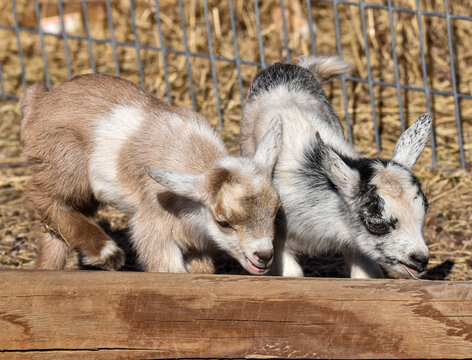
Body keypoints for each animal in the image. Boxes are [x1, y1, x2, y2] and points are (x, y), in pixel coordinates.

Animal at [21, 74, 280, 274]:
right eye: (223, 222)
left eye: (275, 212)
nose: (264, 256)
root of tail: (39, 100)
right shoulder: (155, 228)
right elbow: (167, 269)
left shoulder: (197, 245)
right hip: (66, 163)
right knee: (38, 193)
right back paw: (106, 253)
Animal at [242, 57, 434, 280]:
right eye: (377, 224)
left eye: (424, 210)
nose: (420, 259)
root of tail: (285, 66)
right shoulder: (277, 234)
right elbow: (292, 274)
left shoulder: (355, 241)